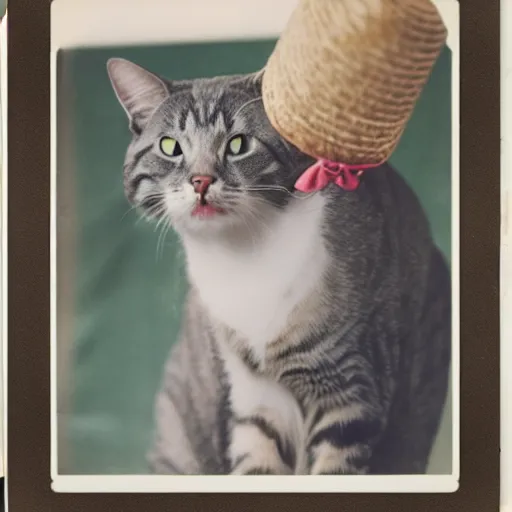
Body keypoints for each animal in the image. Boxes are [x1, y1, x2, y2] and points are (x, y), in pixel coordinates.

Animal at [106, 57, 450, 476]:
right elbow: (257, 463)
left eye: (238, 144)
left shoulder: (352, 386)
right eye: (169, 147)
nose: (200, 180)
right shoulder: (256, 398)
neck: (242, 261)